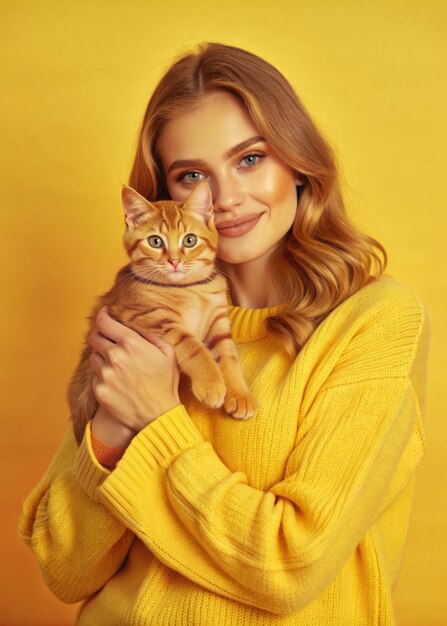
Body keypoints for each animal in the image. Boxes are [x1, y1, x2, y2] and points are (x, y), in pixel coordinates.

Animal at [69, 180, 260, 444]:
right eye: (155, 242)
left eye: (189, 240)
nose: (174, 261)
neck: (190, 289)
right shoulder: (144, 316)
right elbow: (194, 347)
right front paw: (212, 384)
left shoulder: (219, 321)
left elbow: (229, 355)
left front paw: (240, 394)